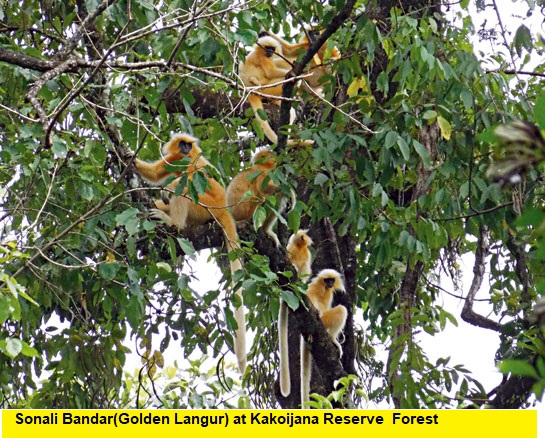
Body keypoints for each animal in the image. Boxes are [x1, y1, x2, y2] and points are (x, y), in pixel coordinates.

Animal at [136, 133, 246, 372]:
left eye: (188, 144)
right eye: (182, 144)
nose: (186, 148)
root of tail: (223, 208)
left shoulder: (190, 160)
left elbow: (185, 177)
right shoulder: (176, 157)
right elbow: (155, 173)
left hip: (204, 206)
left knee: (184, 187)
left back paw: (172, 221)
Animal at [300, 268, 346, 408]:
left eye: (332, 280)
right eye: (327, 280)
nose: (330, 284)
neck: (325, 288)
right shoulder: (315, 286)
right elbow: (309, 295)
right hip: (324, 320)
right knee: (342, 309)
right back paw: (332, 338)